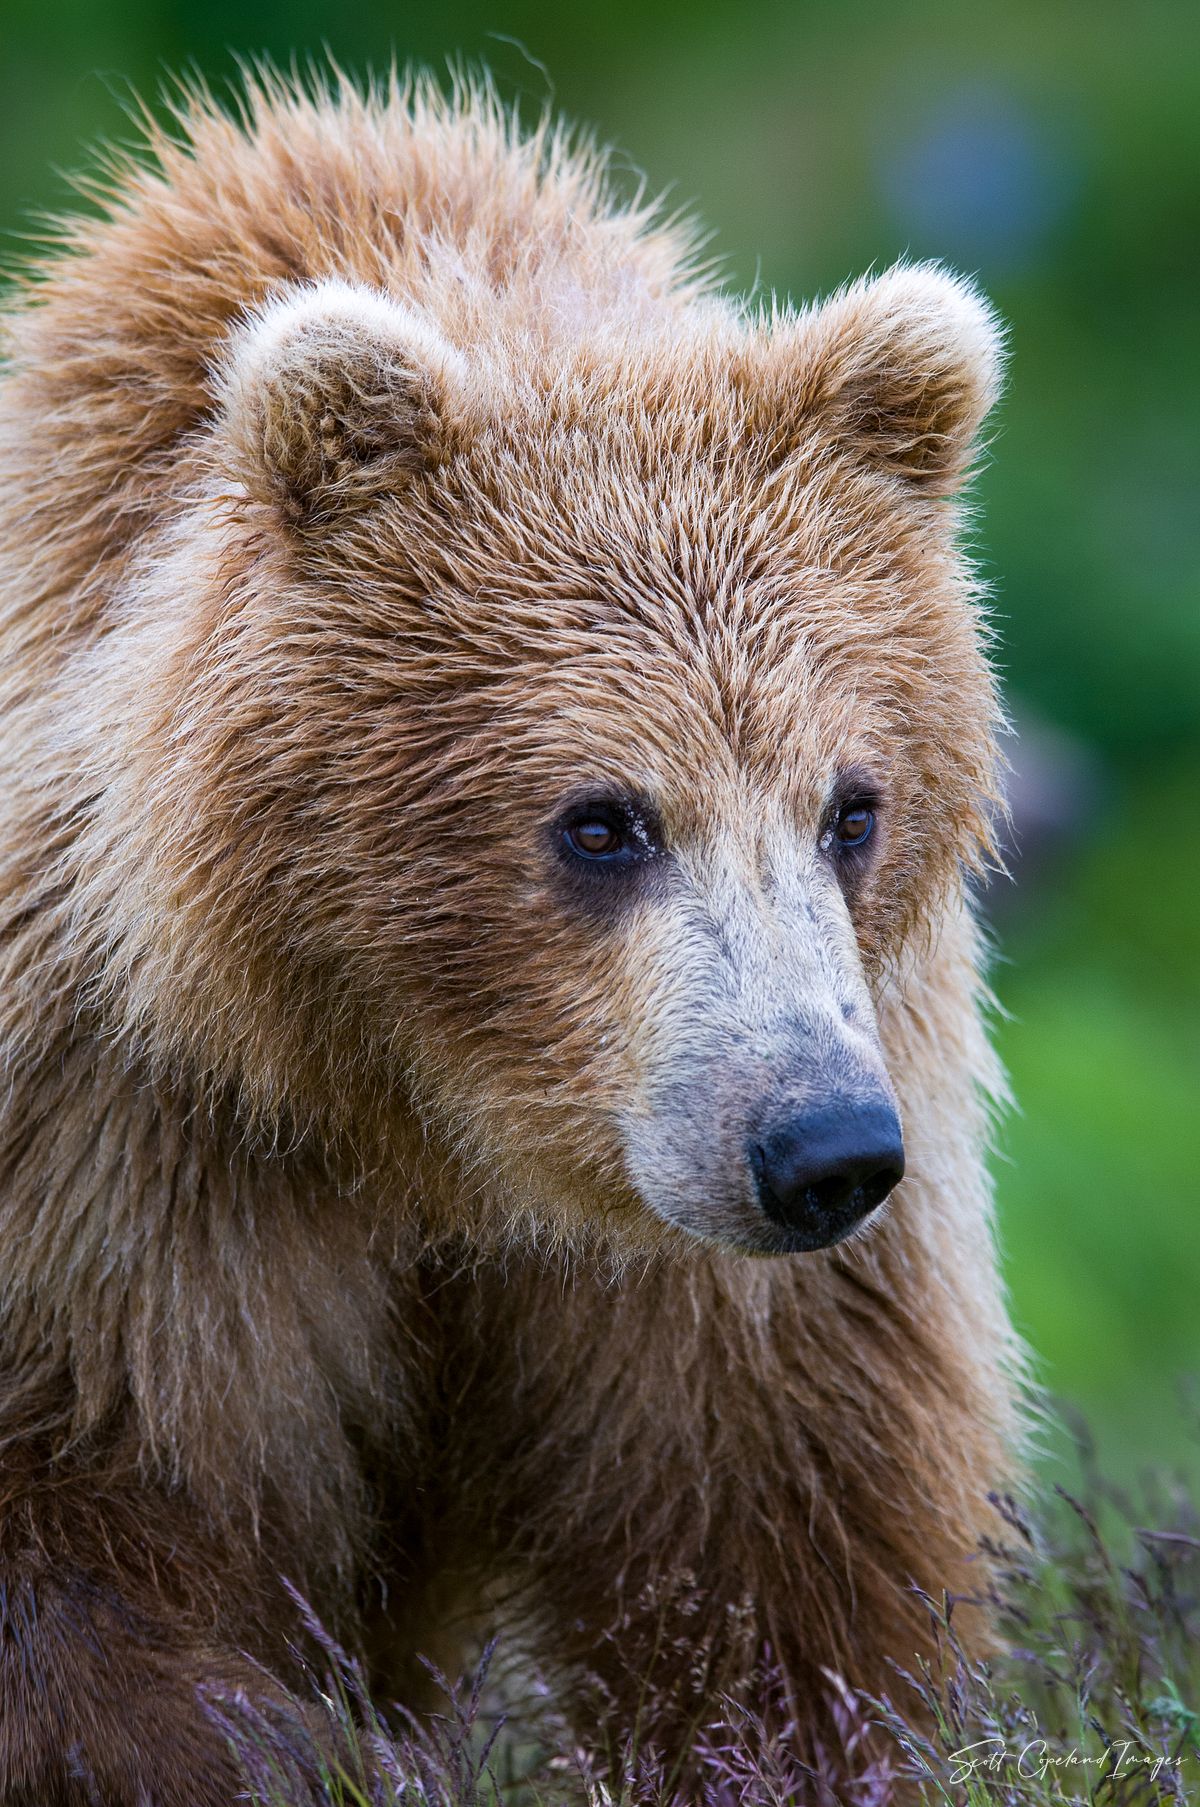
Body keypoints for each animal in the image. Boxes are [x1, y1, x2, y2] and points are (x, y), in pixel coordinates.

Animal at [0, 71, 1020, 1804]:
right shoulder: (113, 1146)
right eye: (602, 818)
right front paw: (297, 1746)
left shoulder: (715, 1232)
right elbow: (87, 1533)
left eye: (851, 805)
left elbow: (780, 1529)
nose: (820, 1148)